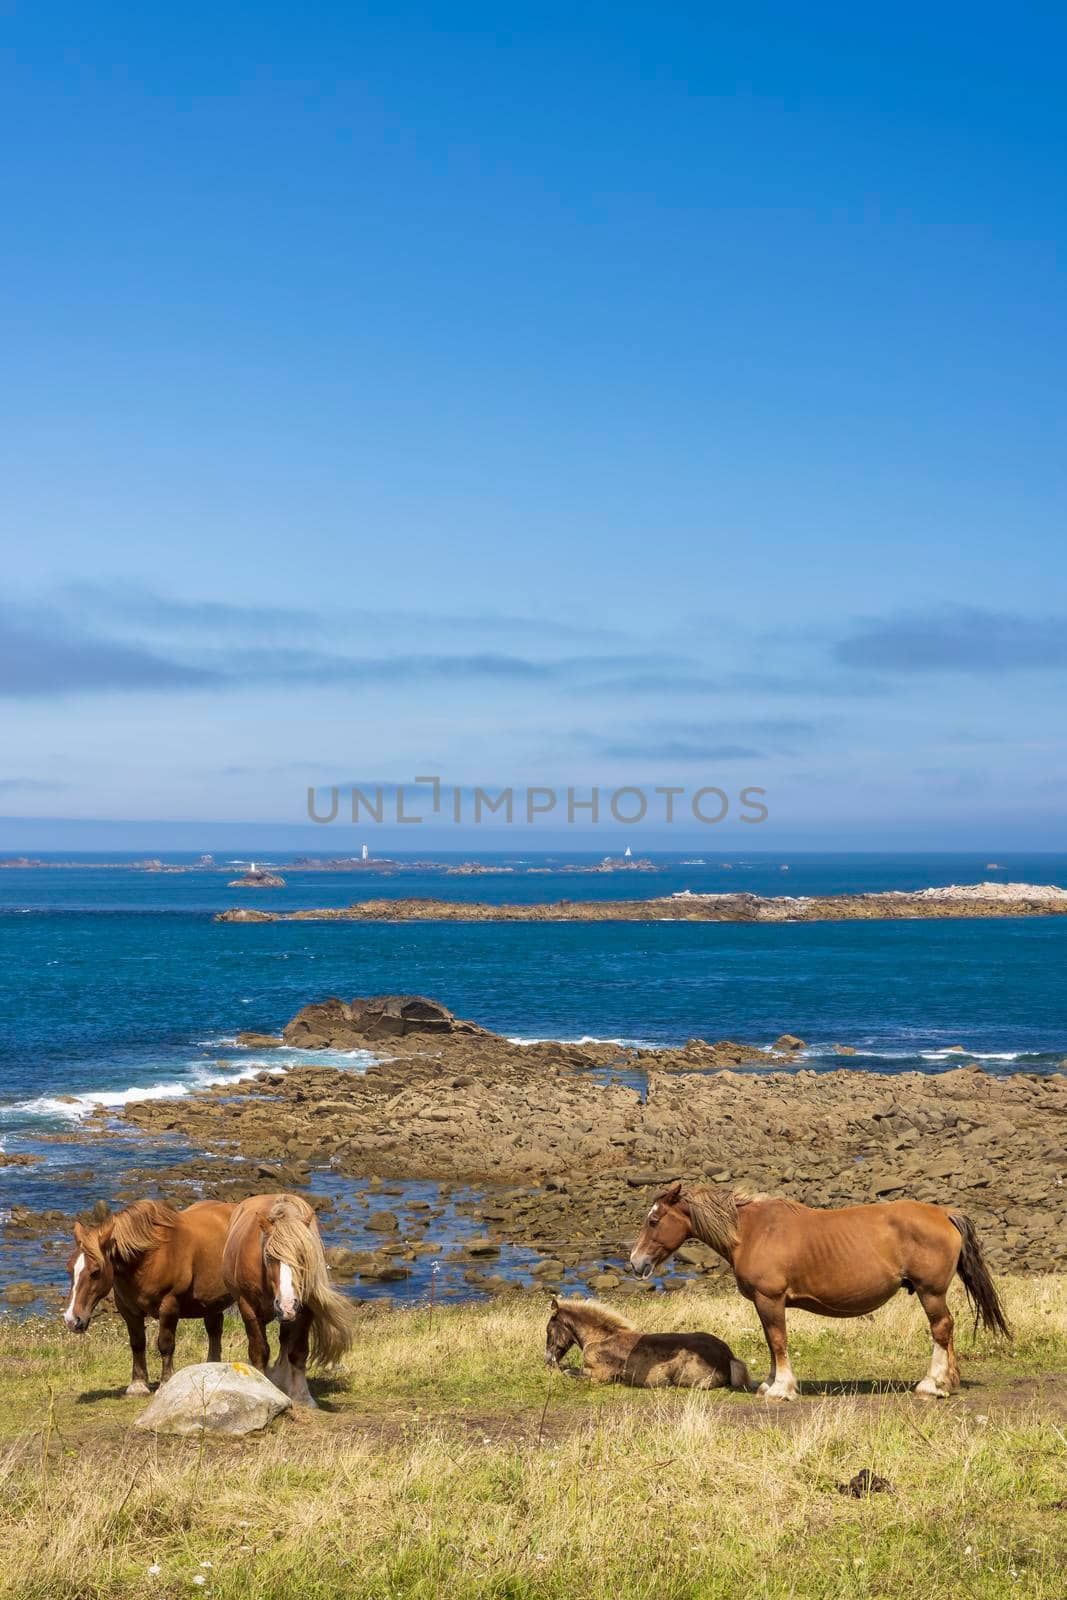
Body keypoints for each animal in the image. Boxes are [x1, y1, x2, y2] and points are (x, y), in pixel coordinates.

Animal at [64, 1196, 233, 1395]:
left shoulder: (169, 1306)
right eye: (69, 1269)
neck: (151, 1256)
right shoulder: (128, 1310)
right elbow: (137, 1343)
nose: (72, 1320)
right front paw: (138, 1384)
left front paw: (166, 1382)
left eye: (95, 1271)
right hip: (212, 1301)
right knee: (214, 1330)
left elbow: (166, 1344)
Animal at [223, 1196, 356, 1408]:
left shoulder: (306, 1309)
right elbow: (259, 1350)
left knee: (285, 1341)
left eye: (301, 1256)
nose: (286, 1305)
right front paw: (262, 1389)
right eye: (269, 1256)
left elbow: (298, 1352)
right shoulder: (247, 1307)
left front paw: (302, 1396)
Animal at [630, 1177, 1004, 1401]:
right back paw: (949, 1382)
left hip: (931, 1291)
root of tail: (945, 1213)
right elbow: (771, 1342)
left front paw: (781, 1388)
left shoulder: (770, 1299)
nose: (635, 1263)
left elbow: (778, 1341)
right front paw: (770, 1383)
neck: (752, 1231)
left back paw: (932, 1384)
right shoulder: (765, 1303)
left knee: (941, 1329)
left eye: (653, 1220)